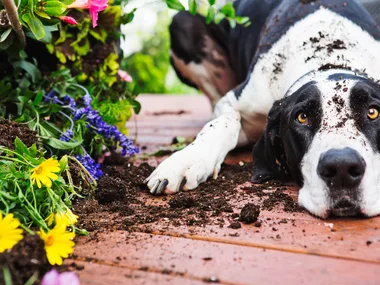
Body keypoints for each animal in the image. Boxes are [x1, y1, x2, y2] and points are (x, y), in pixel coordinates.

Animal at [146, 0, 380, 217]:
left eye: (373, 112)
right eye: (302, 117)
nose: (342, 168)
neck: (329, 56)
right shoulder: (234, 101)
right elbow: (222, 123)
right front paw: (187, 160)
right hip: (183, 22)